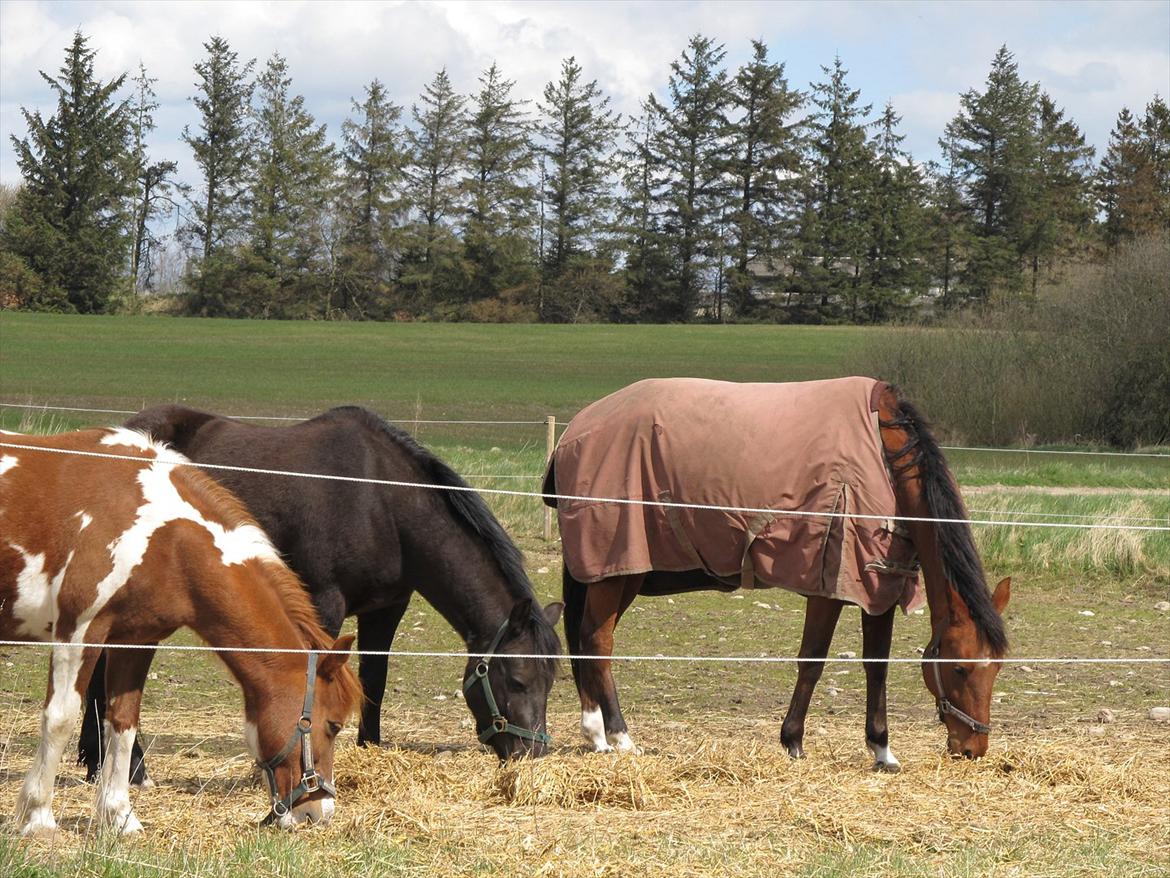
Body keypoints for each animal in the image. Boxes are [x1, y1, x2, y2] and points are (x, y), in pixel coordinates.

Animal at [0, 430, 360, 833]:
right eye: (334, 725)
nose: (317, 813)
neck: (162, 536)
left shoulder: (136, 641)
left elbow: (123, 722)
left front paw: (121, 817)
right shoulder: (79, 631)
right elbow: (60, 718)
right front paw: (38, 817)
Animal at [77, 405, 561, 782]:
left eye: (551, 682)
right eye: (517, 679)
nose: (532, 755)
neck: (381, 501)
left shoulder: (388, 607)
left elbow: (374, 679)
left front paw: (370, 751)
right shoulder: (324, 600)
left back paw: (96, 762)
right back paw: (131, 768)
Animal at [542, 379, 1010, 767]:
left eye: (997, 668)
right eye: (960, 668)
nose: (973, 748)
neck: (884, 458)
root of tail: (575, 431)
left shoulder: (879, 587)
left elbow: (876, 665)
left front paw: (882, 749)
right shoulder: (828, 586)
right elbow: (812, 660)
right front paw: (793, 741)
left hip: (623, 575)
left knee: (587, 639)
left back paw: (597, 733)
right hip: (615, 570)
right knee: (597, 641)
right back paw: (615, 736)